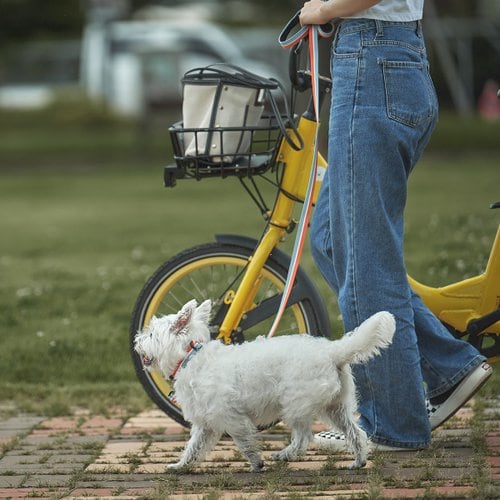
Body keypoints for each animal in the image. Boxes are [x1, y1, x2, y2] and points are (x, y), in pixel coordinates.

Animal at [134, 298, 394, 470]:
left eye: (151, 335)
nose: (137, 341)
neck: (191, 356)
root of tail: (333, 352)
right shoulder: (206, 423)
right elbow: (193, 447)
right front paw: (180, 465)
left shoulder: (231, 418)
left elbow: (245, 443)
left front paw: (256, 463)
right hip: (335, 408)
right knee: (356, 433)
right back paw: (359, 461)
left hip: (295, 405)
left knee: (303, 438)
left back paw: (285, 455)